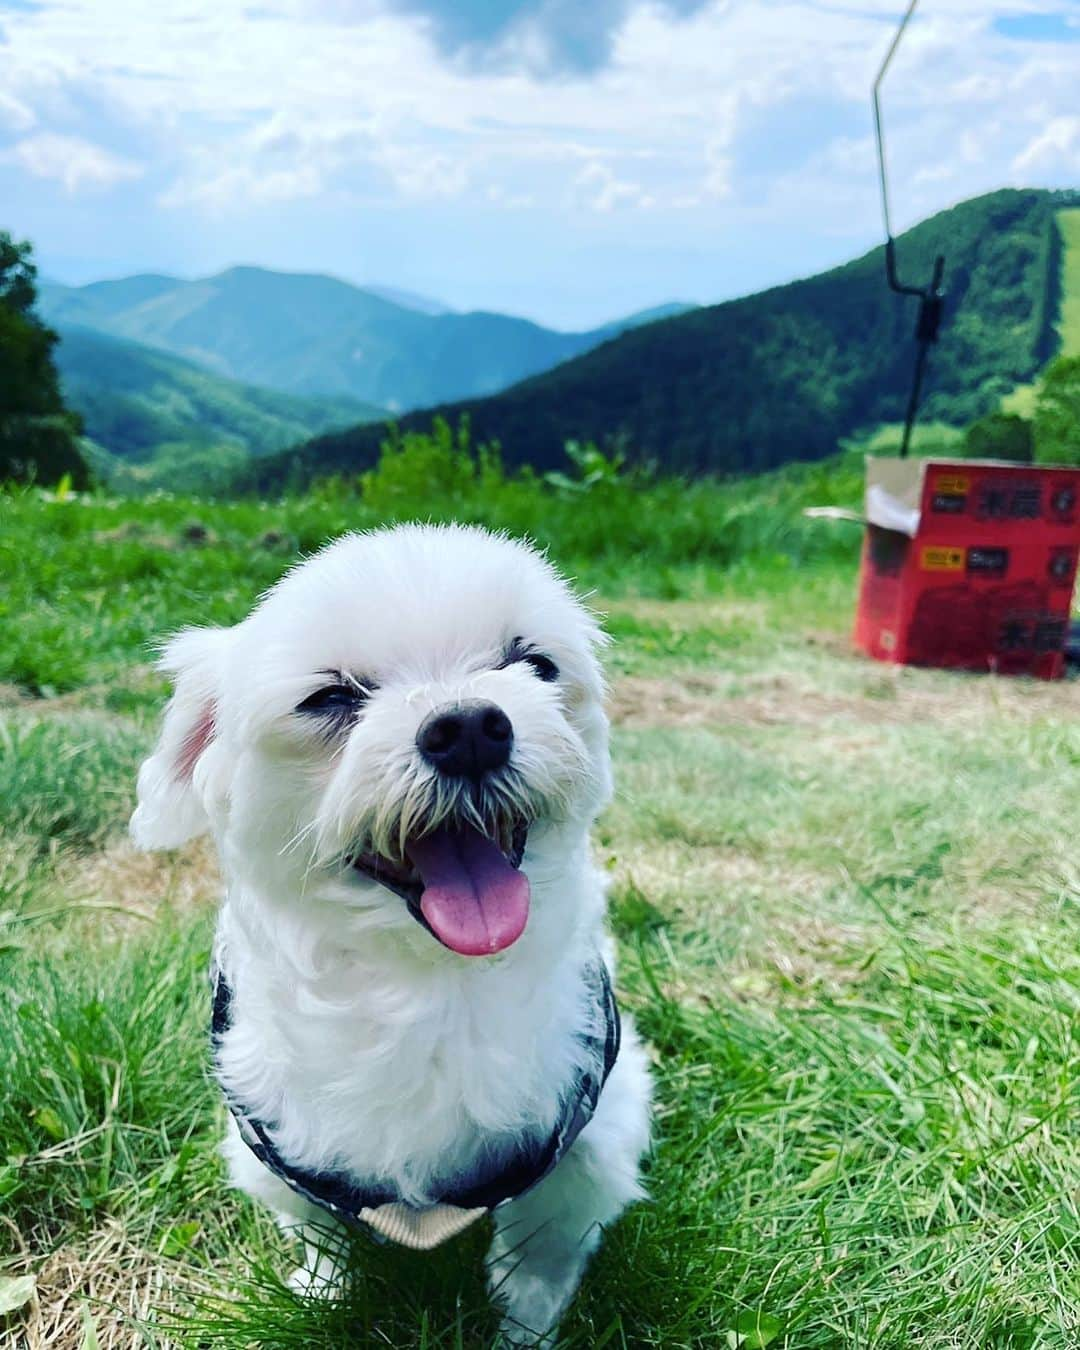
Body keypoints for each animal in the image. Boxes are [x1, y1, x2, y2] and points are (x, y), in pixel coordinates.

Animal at [126, 523, 650, 1339]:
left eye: (534, 664)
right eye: (331, 698)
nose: (468, 727)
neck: (426, 986)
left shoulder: (589, 1146)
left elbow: (540, 1258)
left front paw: (525, 1329)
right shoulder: (274, 1147)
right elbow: (320, 1233)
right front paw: (323, 1294)